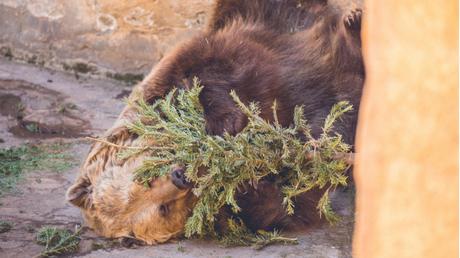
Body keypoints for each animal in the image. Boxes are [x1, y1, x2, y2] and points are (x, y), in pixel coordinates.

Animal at [67, 0, 362, 245]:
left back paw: (354, 23)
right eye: (163, 209)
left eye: (145, 179)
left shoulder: (190, 66)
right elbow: (293, 203)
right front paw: (243, 183)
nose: (179, 177)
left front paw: (222, 126)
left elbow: (213, 73)